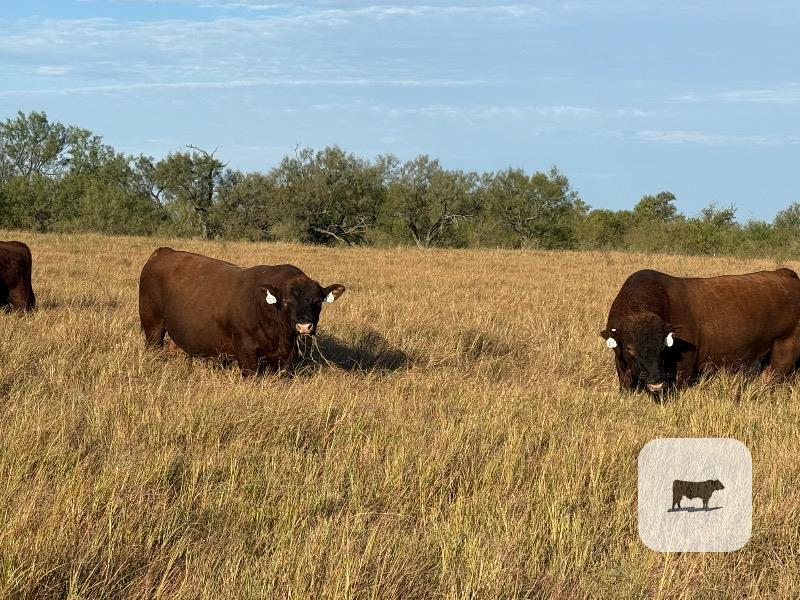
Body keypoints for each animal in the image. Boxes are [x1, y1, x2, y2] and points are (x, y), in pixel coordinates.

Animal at [138, 247, 345, 374]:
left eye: (317, 301)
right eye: (286, 301)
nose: (304, 326)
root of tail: (164, 252)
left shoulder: (282, 357)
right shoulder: (246, 350)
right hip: (152, 325)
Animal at [601, 268, 800, 393]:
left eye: (663, 347)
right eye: (630, 349)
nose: (655, 379)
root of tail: (784, 274)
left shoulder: (685, 364)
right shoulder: (621, 364)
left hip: (785, 348)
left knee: (776, 377)